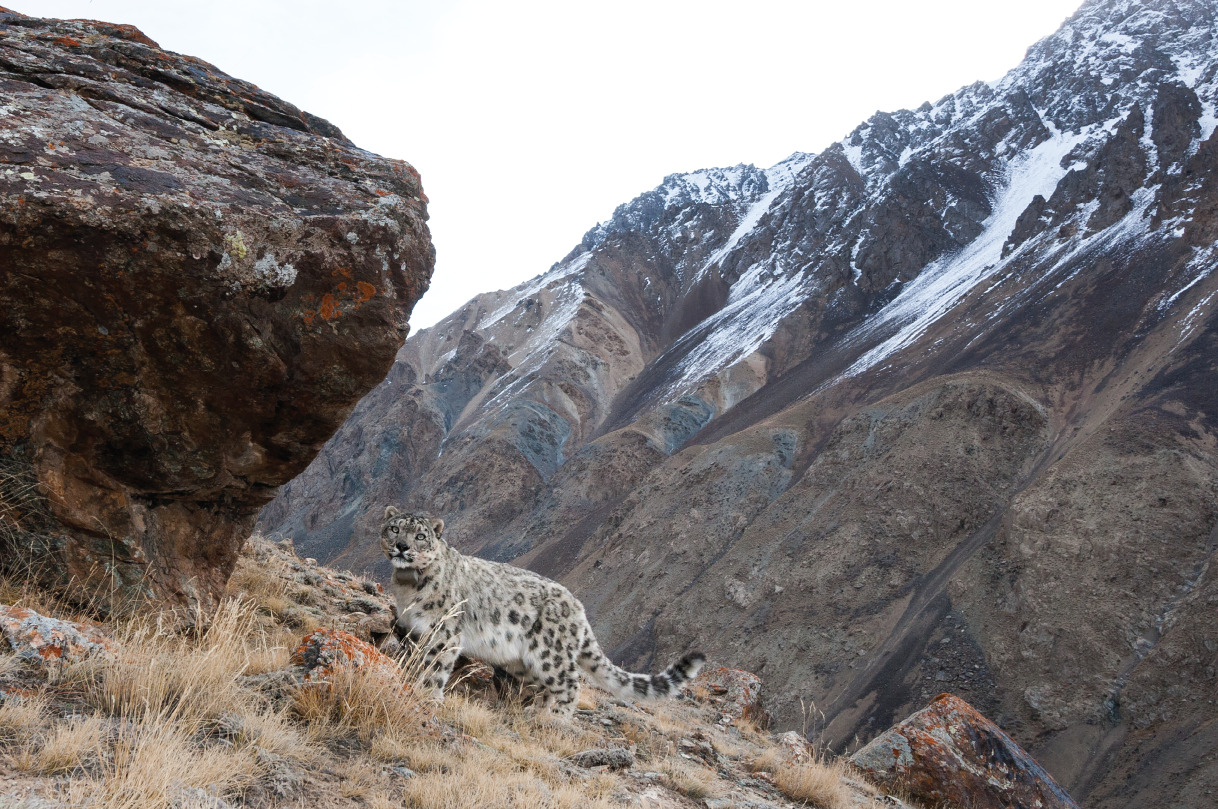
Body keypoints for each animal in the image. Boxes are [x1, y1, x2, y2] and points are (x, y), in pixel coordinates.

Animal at [380, 507, 705, 716]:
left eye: (420, 536)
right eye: (394, 528)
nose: (402, 545)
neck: (407, 586)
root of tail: (578, 608)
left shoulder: (444, 633)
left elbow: (434, 667)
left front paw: (428, 694)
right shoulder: (414, 630)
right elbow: (414, 659)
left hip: (549, 651)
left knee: (570, 682)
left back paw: (555, 720)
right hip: (521, 661)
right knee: (547, 685)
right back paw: (535, 710)